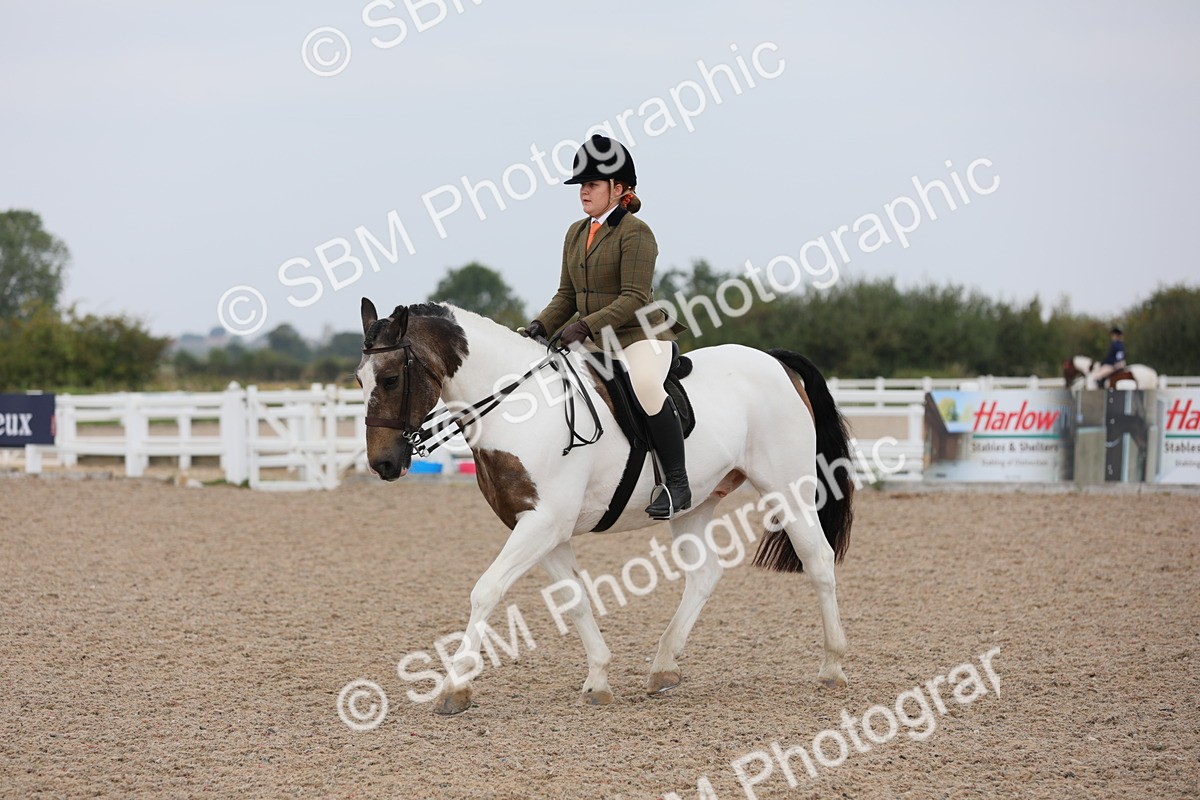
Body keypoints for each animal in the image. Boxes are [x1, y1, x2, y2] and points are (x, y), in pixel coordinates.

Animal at [356, 299, 854, 715]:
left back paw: (832, 667)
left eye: (391, 378)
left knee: (818, 560)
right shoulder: (539, 527)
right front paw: (598, 679)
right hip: (694, 505)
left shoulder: (541, 525)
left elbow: (486, 590)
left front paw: (455, 688)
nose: (383, 464)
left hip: (787, 488)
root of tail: (774, 361)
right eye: (360, 379)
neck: (519, 407)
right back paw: (663, 668)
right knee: (704, 575)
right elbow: (573, 598)